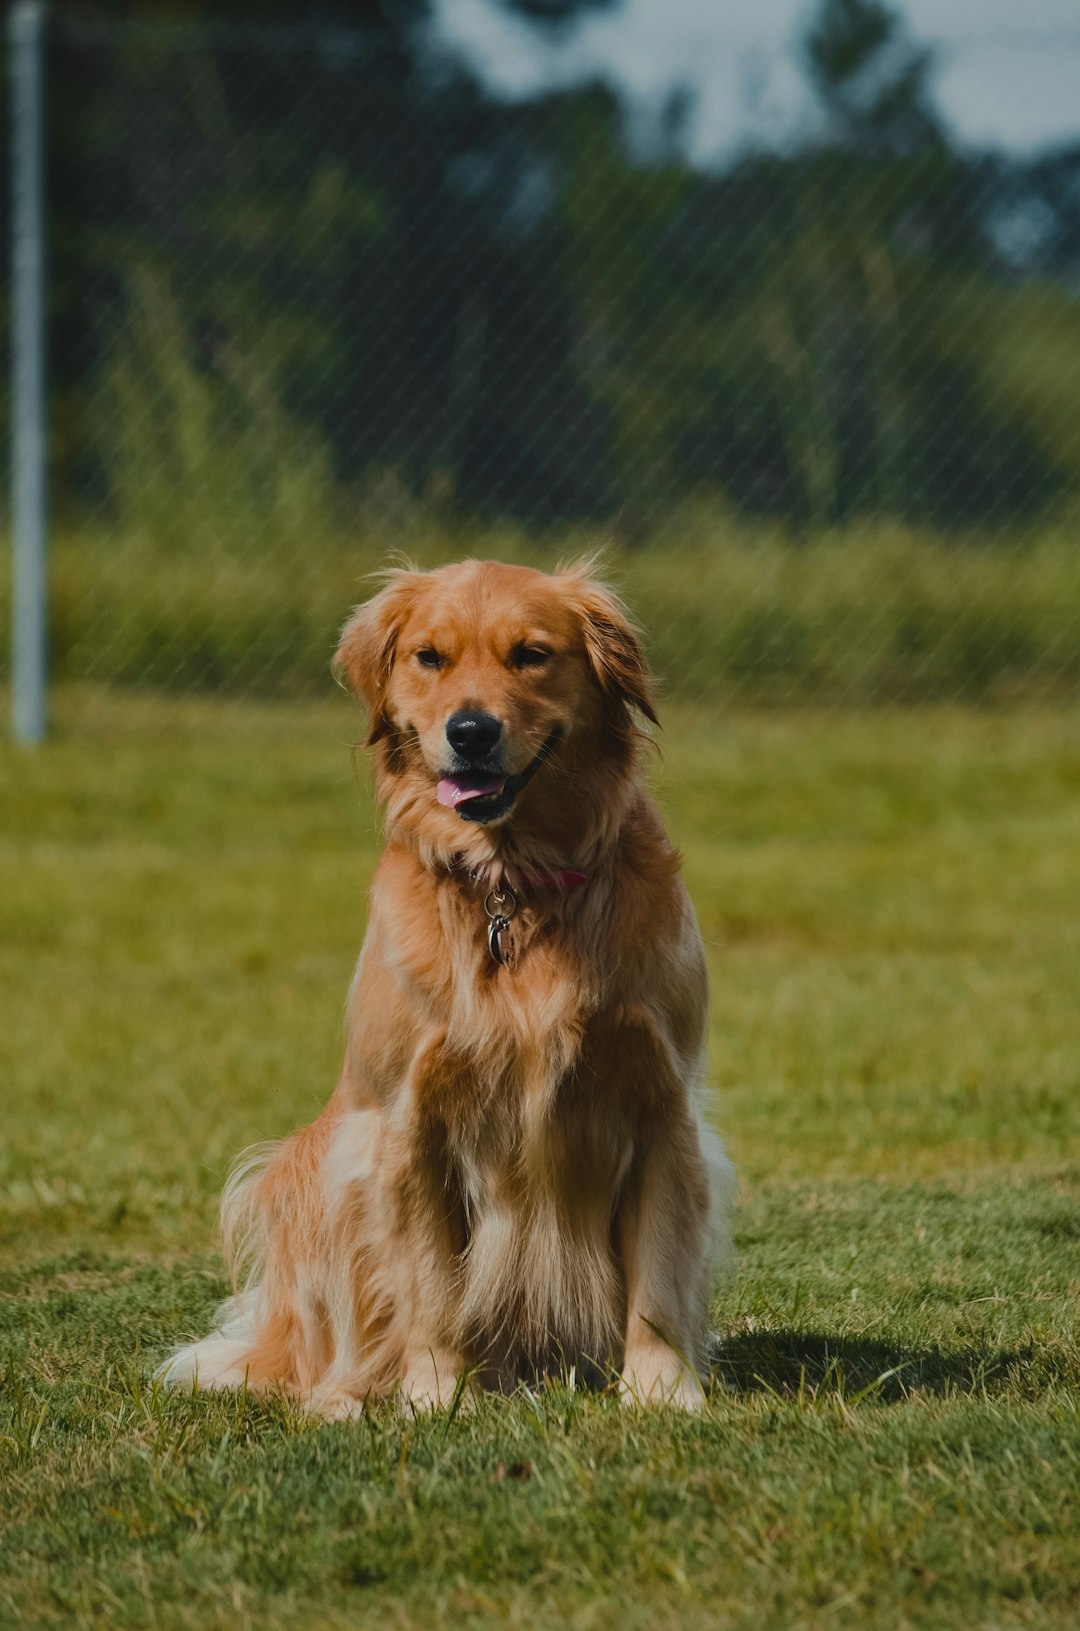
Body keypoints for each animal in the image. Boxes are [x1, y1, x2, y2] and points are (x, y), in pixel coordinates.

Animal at [160, 554, 730, 1409]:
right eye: (430, 657)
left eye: (531, 654)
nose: (470, 731)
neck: (510, 883)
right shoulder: (408, 1122)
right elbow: (430, 1282)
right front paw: (435, 1394)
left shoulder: (663, 1103)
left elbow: (660, 1273)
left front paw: (662, 1391)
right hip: (311, 1175)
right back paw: (344, 1398)